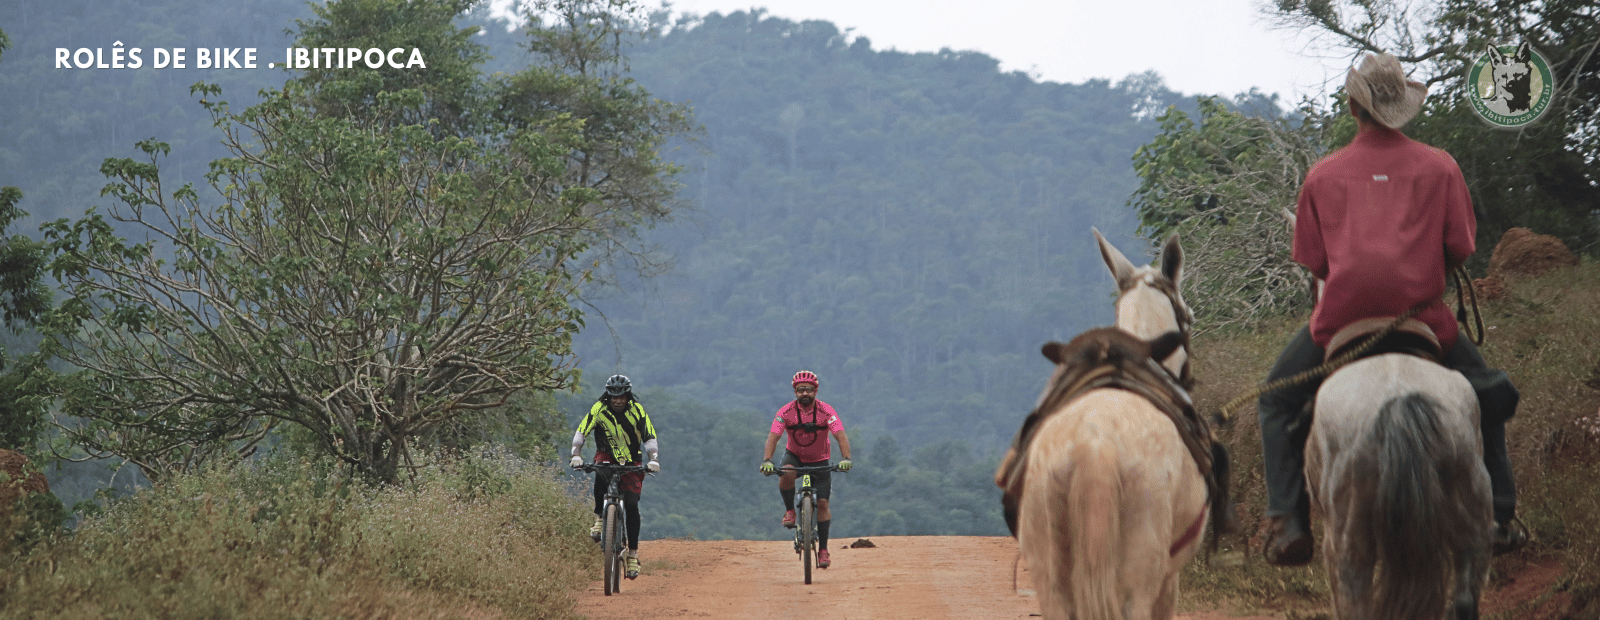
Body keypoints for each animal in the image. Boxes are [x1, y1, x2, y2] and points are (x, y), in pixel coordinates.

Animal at [992, 230, 1216, 620]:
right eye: (1189, 317)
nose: (1188, 379)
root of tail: (1094, 445)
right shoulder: (1168, 580)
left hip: (1050, 574)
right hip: (1140, 573)